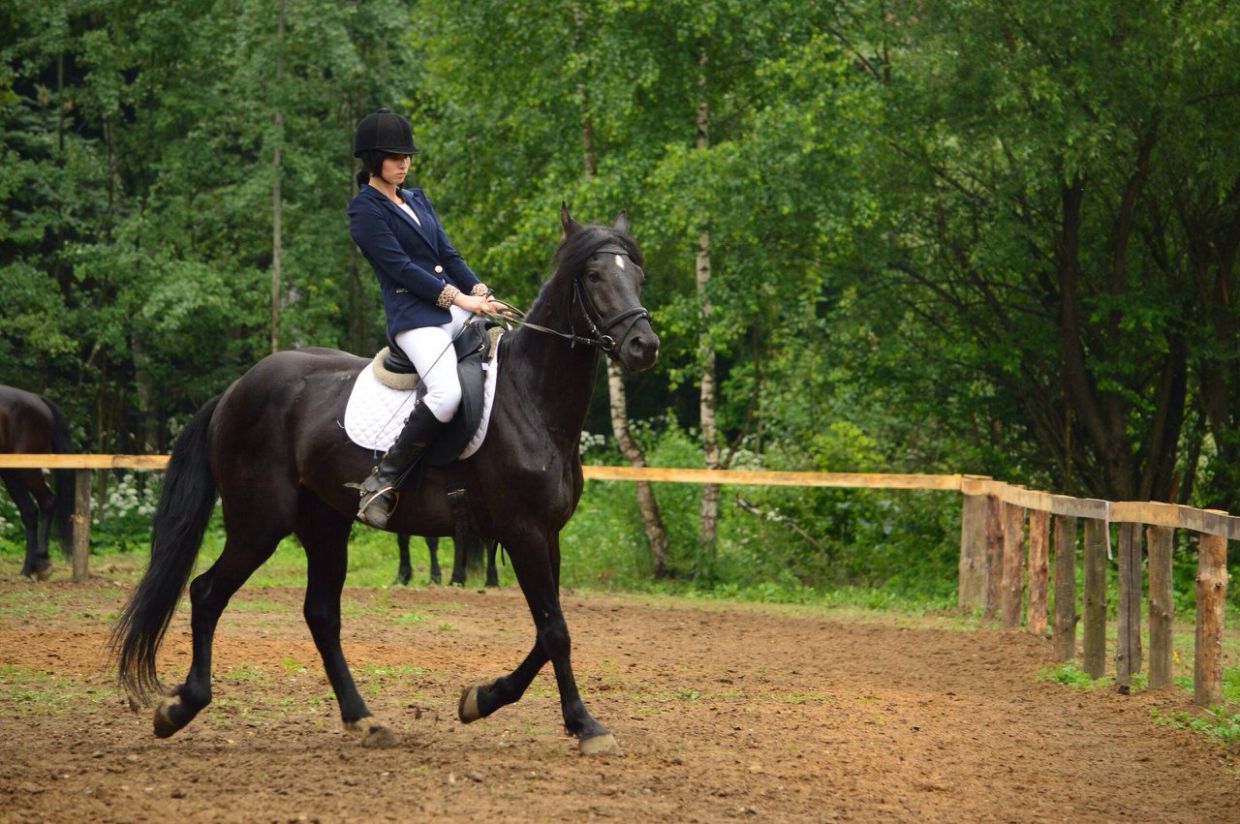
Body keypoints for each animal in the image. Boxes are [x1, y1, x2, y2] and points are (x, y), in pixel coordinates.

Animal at [0, 386, 75, 577]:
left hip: (25, 470)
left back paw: (38, 562)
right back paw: (31, 566)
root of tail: (37, 399)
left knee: (46, 502)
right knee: (29, 512)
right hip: (10, 474)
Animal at [114, 205, 659, 753]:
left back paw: (363, 718)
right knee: (208, 592)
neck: (530, 399)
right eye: (594, 276)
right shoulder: (523, 532)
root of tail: (235, 390)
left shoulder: (547, 535)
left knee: (320, 614)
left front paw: (481, 699)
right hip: (259, 523)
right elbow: (554, 631)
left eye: (637, 275)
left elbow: (546, 633)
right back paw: (181, 707)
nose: (644, 346)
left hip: (324, 523)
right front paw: (585, 725)